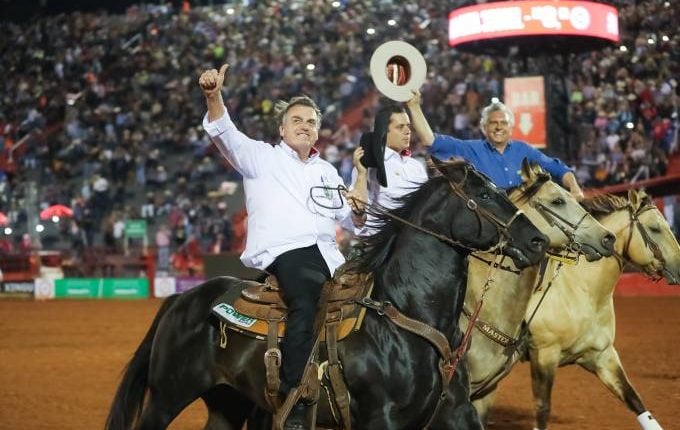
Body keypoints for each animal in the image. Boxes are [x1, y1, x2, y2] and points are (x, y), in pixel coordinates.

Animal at [106, 159, 548, 430]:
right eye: (485, 195)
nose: (538, 240)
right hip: (167, 396)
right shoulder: (382, 419)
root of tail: (183, 300)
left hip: (227, 402)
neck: (405, 316)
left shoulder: (456, 412)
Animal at [478, 191, 680, 430]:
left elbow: (635, 400)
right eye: (655, 228)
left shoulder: (602, 356)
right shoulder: (544, 354)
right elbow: (542, 409)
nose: (679, 266)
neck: (581, 290)